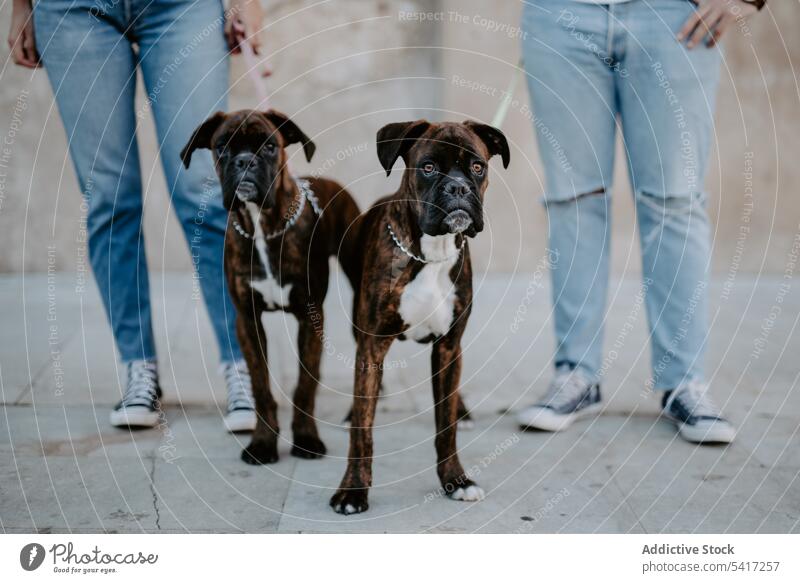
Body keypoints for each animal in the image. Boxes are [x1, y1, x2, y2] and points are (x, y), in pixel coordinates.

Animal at [181, 109, 360, 466]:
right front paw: (263, 443)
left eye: (268, 146)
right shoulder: (247, 321)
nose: (245, 161)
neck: (262, 225)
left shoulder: (310, 319)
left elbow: (305, 386)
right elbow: (261, 386)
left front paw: (306, 439)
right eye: (221, 147)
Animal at [330, 118, 506, 516]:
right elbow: (362, 431)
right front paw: (353, 490)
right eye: (427, 167)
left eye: (477, 167)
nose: (458, 187)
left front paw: (456, 480)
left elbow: (445, 426)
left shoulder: (449, 345)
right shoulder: (372, 345)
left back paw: (463, 410)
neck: (430, 253)